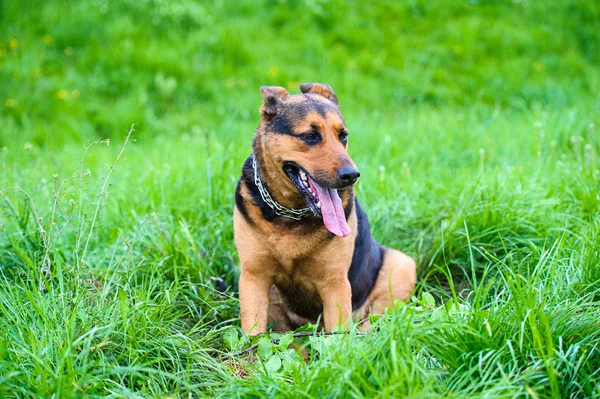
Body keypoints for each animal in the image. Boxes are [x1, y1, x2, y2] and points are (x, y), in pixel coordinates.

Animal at [234, 83, 418, 334]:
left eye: (343, 136)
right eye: (310, 136)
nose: (352, 175)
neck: (292, 214)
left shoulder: (335, 283)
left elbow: (337, 337)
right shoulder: (253, 277)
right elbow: (254, 336)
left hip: (402, 267)